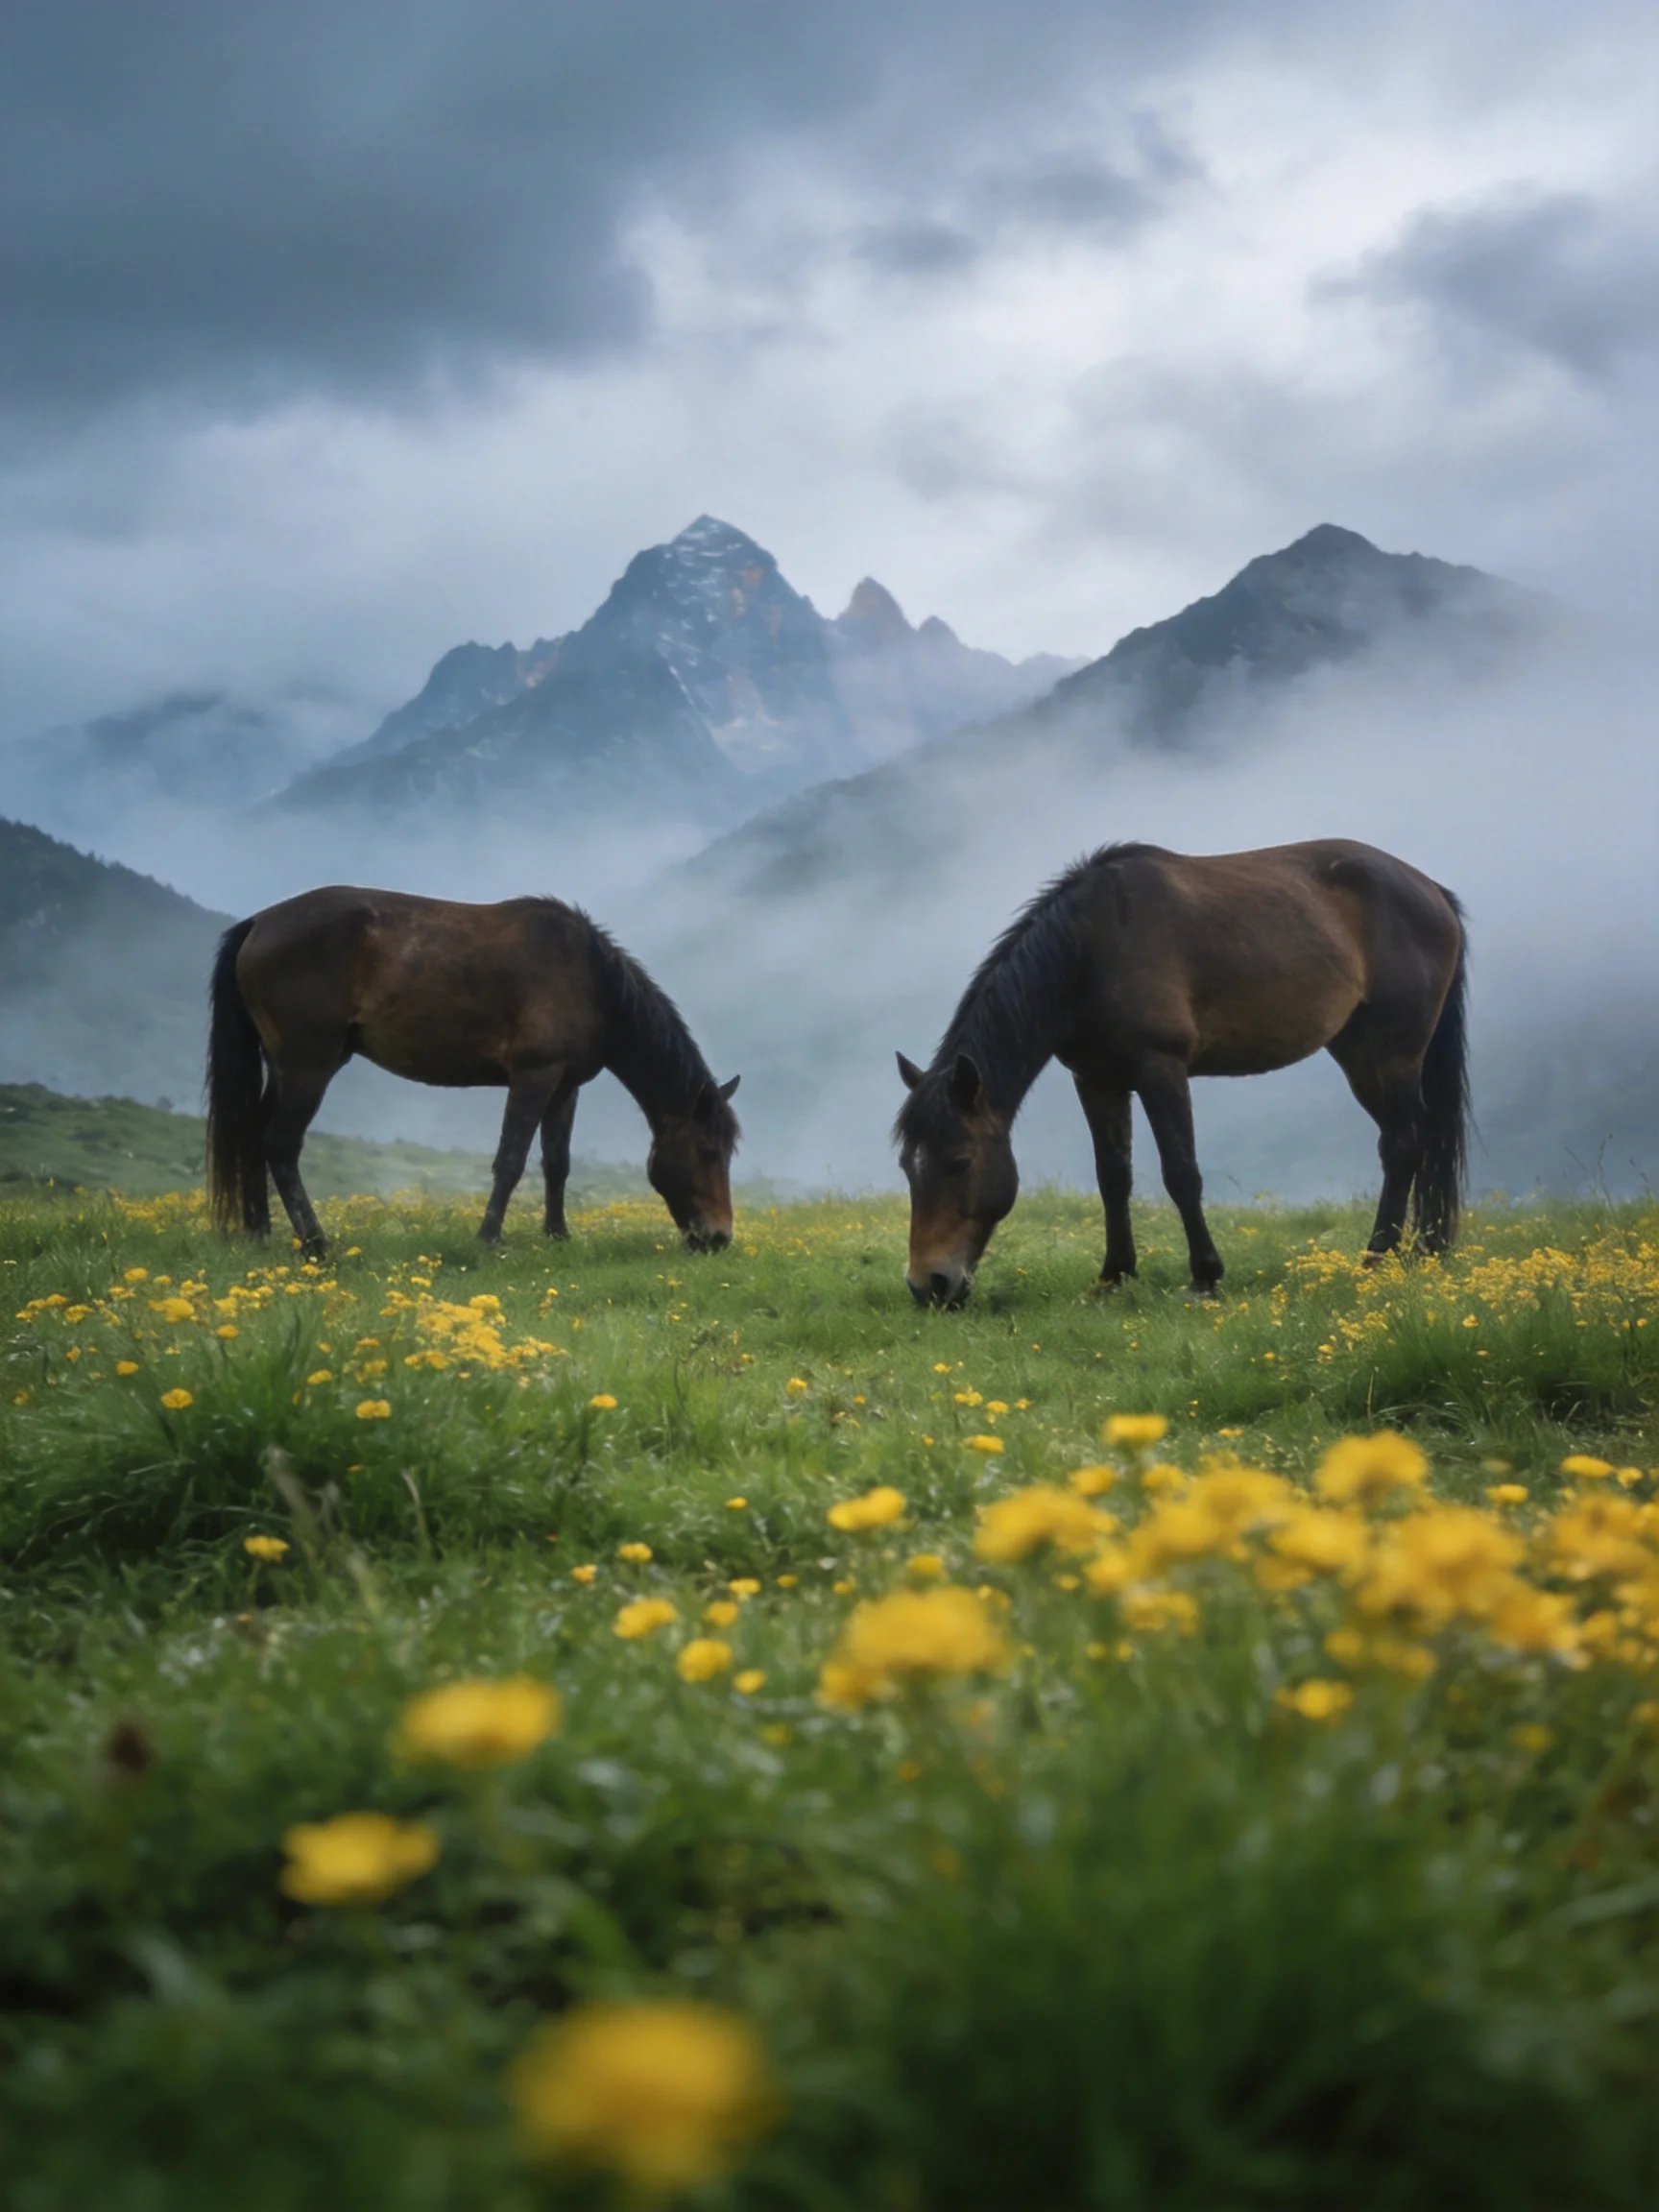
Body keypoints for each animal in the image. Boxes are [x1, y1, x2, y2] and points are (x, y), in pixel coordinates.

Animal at [206, 886, 740, 1259]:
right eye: (708, 1152)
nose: (718, 1238)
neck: (591, 980)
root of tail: (258, 923)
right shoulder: (533, 1076)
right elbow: (511, 1161)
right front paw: (488, 1239)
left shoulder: (564, 1086)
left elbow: (557, 1163)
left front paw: (558, 1236)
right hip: (308, 1067)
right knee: (280, 1145)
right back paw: (315, 1243)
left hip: (288, 1067)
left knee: (252, 1137)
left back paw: (260, 1235)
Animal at [894, 839, 1469, 1306]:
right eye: (907, 1166)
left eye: (959, 1162)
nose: (928, 1286)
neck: (1091, 948)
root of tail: (1432, 891)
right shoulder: (1097, 1080)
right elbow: (1113, 1178)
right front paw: (1114, 1276)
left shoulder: (1160, 1068)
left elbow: (1181, 1172)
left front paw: (1205, 1277)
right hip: (1357, 1051)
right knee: (1409, 1141)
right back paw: (1419, 1251)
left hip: (1392, 1052)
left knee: (1403, 1144)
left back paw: (1377, 1259)